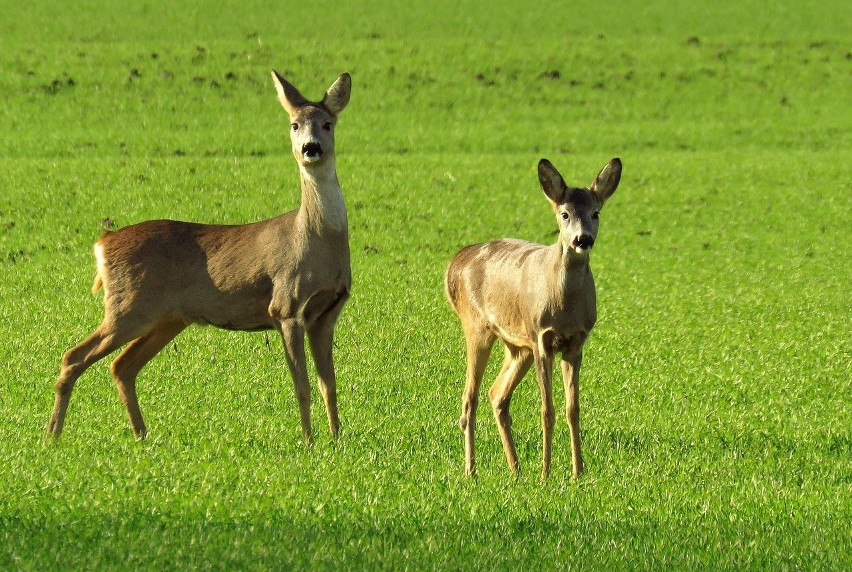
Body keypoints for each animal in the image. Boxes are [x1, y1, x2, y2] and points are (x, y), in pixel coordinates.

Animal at [45, 71, 352, 444]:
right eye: (294, 124)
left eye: (327, 123)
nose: (311, 148)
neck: (317, 241)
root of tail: (103, 243)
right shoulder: (286, 305)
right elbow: (302, 386)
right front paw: (308, 443)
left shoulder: (327, 313)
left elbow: (329, 384)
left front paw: (336, 441)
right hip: (128, 307)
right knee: (73, 356)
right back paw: (53, 437)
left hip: (168, 318)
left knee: (122, 366)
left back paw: (142, 436)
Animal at [446, 156, 620, 478]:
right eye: (564, 214)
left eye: (596, 213)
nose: (583, 239)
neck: (564, 306)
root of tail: (455, 264)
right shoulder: (541, 338)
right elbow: (547, 410)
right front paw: (546, 473)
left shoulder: (576, 343)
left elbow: (572, 410)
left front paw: (577, 473)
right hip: (477, 327)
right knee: (469, 399)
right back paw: (471, 471)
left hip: (517, 345)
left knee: (497, 394)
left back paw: (515, 469)